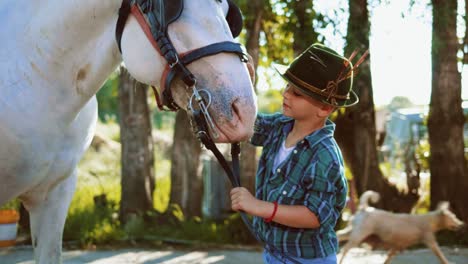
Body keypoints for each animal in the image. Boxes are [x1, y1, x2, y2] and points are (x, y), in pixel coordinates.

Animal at [336, 191, 464, 262]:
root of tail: (365, 208)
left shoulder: (397, 246)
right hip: (359, 234)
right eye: (453, 216)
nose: (461, 224)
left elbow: (388, 258)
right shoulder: (430, 241)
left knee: (338, 235)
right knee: (345, 248)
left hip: (352, 231)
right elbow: (440, 255)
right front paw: (448, 262)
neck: (430, 219)